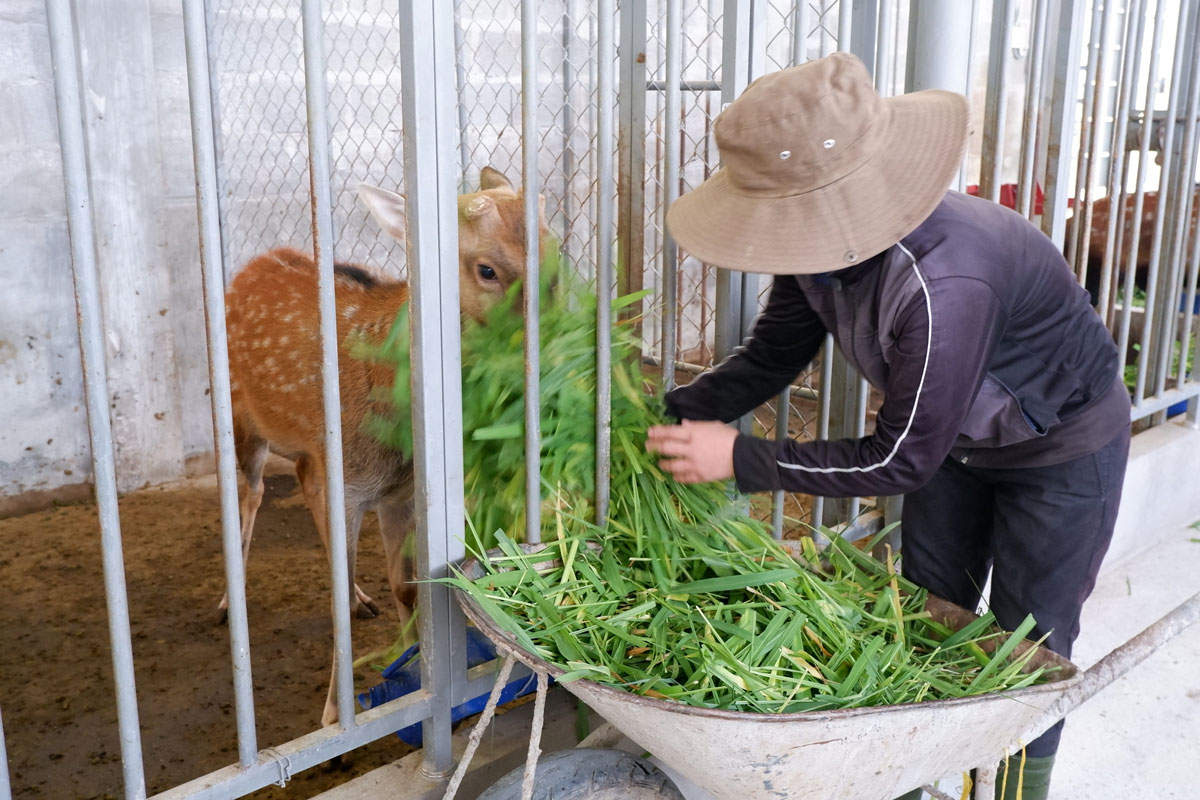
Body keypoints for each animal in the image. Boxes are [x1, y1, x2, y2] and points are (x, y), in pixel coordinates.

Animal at [222, 167, 549, 724]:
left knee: (303, 493)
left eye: (554, 246)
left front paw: (413, 670)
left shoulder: (400, 493)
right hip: (237, 414)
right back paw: (230, 603)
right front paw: (334, 714)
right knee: (251, 492)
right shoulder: (349, 483)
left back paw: (358, 596)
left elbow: (407, 586)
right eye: (486, 269)